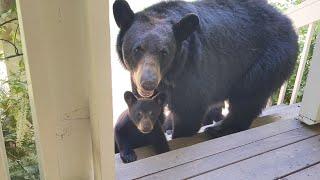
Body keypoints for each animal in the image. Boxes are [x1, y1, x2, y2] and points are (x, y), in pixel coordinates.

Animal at [112, 0, 298, 139]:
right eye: (137, 49)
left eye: (164, 52)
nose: (148, 83)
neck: (169, 74)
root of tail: (288, 23)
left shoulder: (191, 70)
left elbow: (189, 109)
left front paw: (178, 134)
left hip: (269, 59)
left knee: (247, 96)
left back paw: (220, 128)